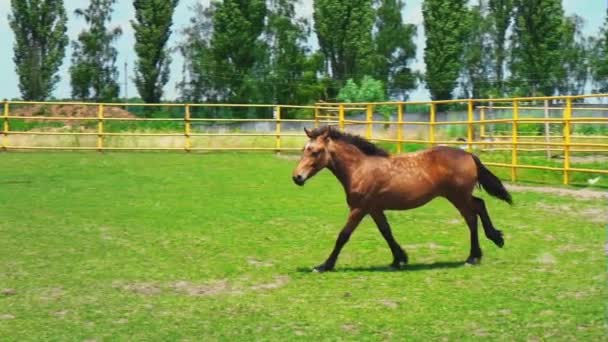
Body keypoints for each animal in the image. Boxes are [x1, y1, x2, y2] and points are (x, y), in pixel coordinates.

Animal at [292, 125, 510, 272]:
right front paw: (399, 259)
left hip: (458, 196)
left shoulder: (359, 209)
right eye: (304, 149)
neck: (360, 169)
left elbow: (343, 236)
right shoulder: (374, 209)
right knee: (478, 208)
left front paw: (324, 265)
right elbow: (386, 232)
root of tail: (468, 155)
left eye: (316, 151)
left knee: (473, 216)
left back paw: (476, 254)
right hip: (458, 196)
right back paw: (487, 244)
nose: (297, 177)